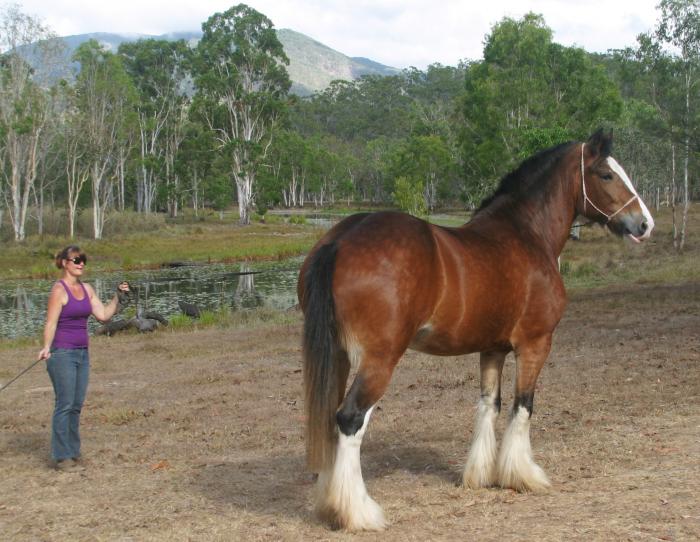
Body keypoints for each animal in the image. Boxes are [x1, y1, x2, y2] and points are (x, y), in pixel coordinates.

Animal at [297, 130, 654, 531]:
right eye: (606, 174)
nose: (644, 224)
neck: (526, 234)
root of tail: (339, 240)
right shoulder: (535, 344)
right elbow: (523, 405)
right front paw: (523, 476)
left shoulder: (492, 348)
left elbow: (489, 404)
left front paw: (481, 475)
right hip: (380, 359)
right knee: (350, 419)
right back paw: (359, 512)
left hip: (339, 356)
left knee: (331, 418)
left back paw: (330, 505)